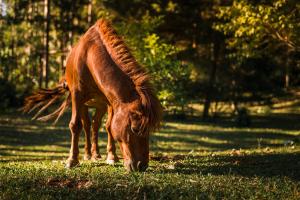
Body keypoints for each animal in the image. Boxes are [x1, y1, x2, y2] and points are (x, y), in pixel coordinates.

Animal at [22, 19, 162, 172]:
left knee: (95, 125)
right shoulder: (77, 96)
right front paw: (72, 160)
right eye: (135, 129)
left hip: (100, 106)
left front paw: (112, 157)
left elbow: (109, 126)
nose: (141, 165)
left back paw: (96, 154)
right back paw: (88, 154)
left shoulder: (111, 101)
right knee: (86, 125)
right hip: (83, 104)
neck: (90, 57)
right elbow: (75, 125)